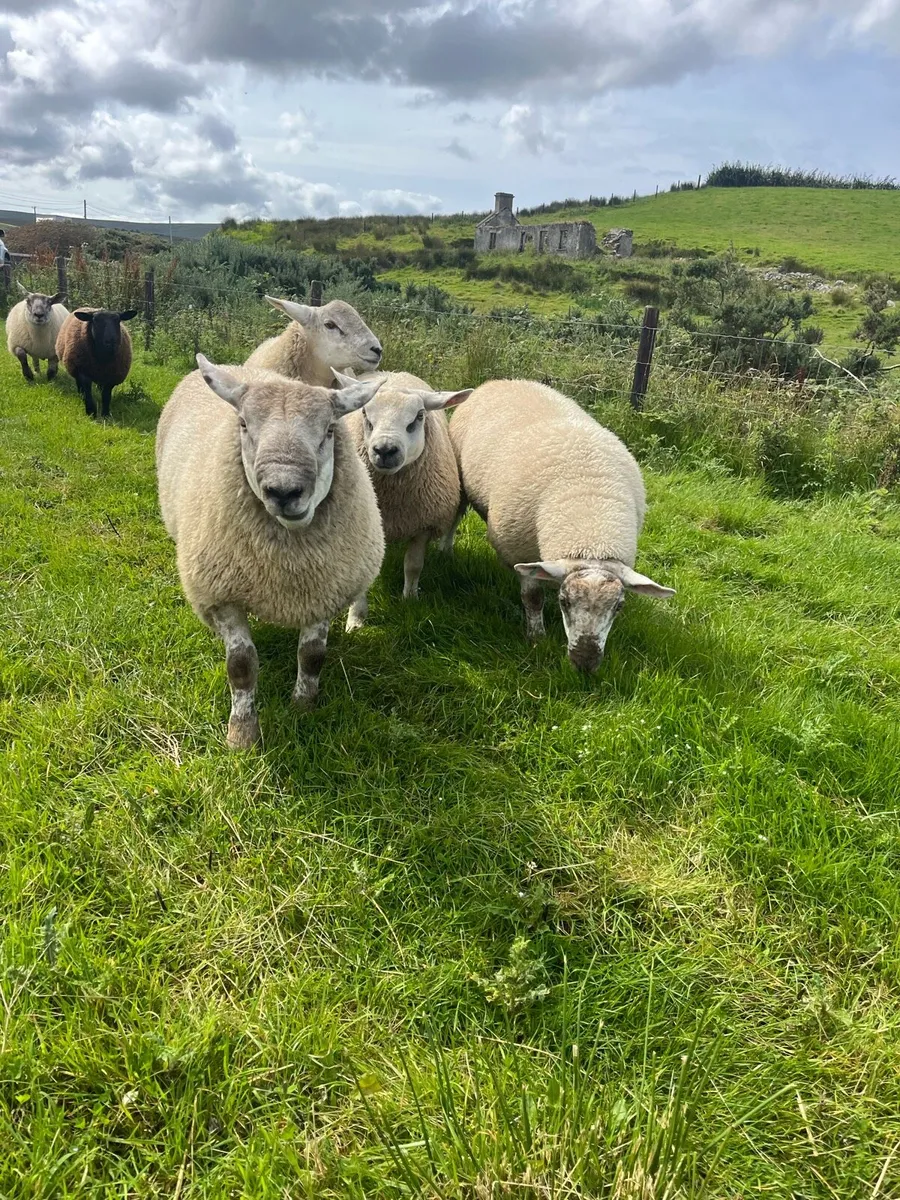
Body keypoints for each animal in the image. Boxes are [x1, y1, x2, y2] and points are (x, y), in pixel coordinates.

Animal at [156, 355, 386, 749]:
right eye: (244, 424)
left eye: (329, 430)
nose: (283, 490)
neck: (285, 571)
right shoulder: (223, 595)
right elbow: (241, 666)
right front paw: (242, 734)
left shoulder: (322, 590)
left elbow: (312, 656)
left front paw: (303, 707)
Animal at [334, 369, 472, 629]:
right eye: (365, 414)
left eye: (419, 416)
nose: (385, 450)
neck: (392, 502)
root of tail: (393, 373)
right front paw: (356, 619)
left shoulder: (423, 525)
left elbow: (413, 566)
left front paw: (410, 600)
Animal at [447, 379, 675, 672]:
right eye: (564, 602)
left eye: (619, 607)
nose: (585, 664)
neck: (591, 528)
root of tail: (501, 381)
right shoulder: (518, 551)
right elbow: (533, 598)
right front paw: (536, 638)